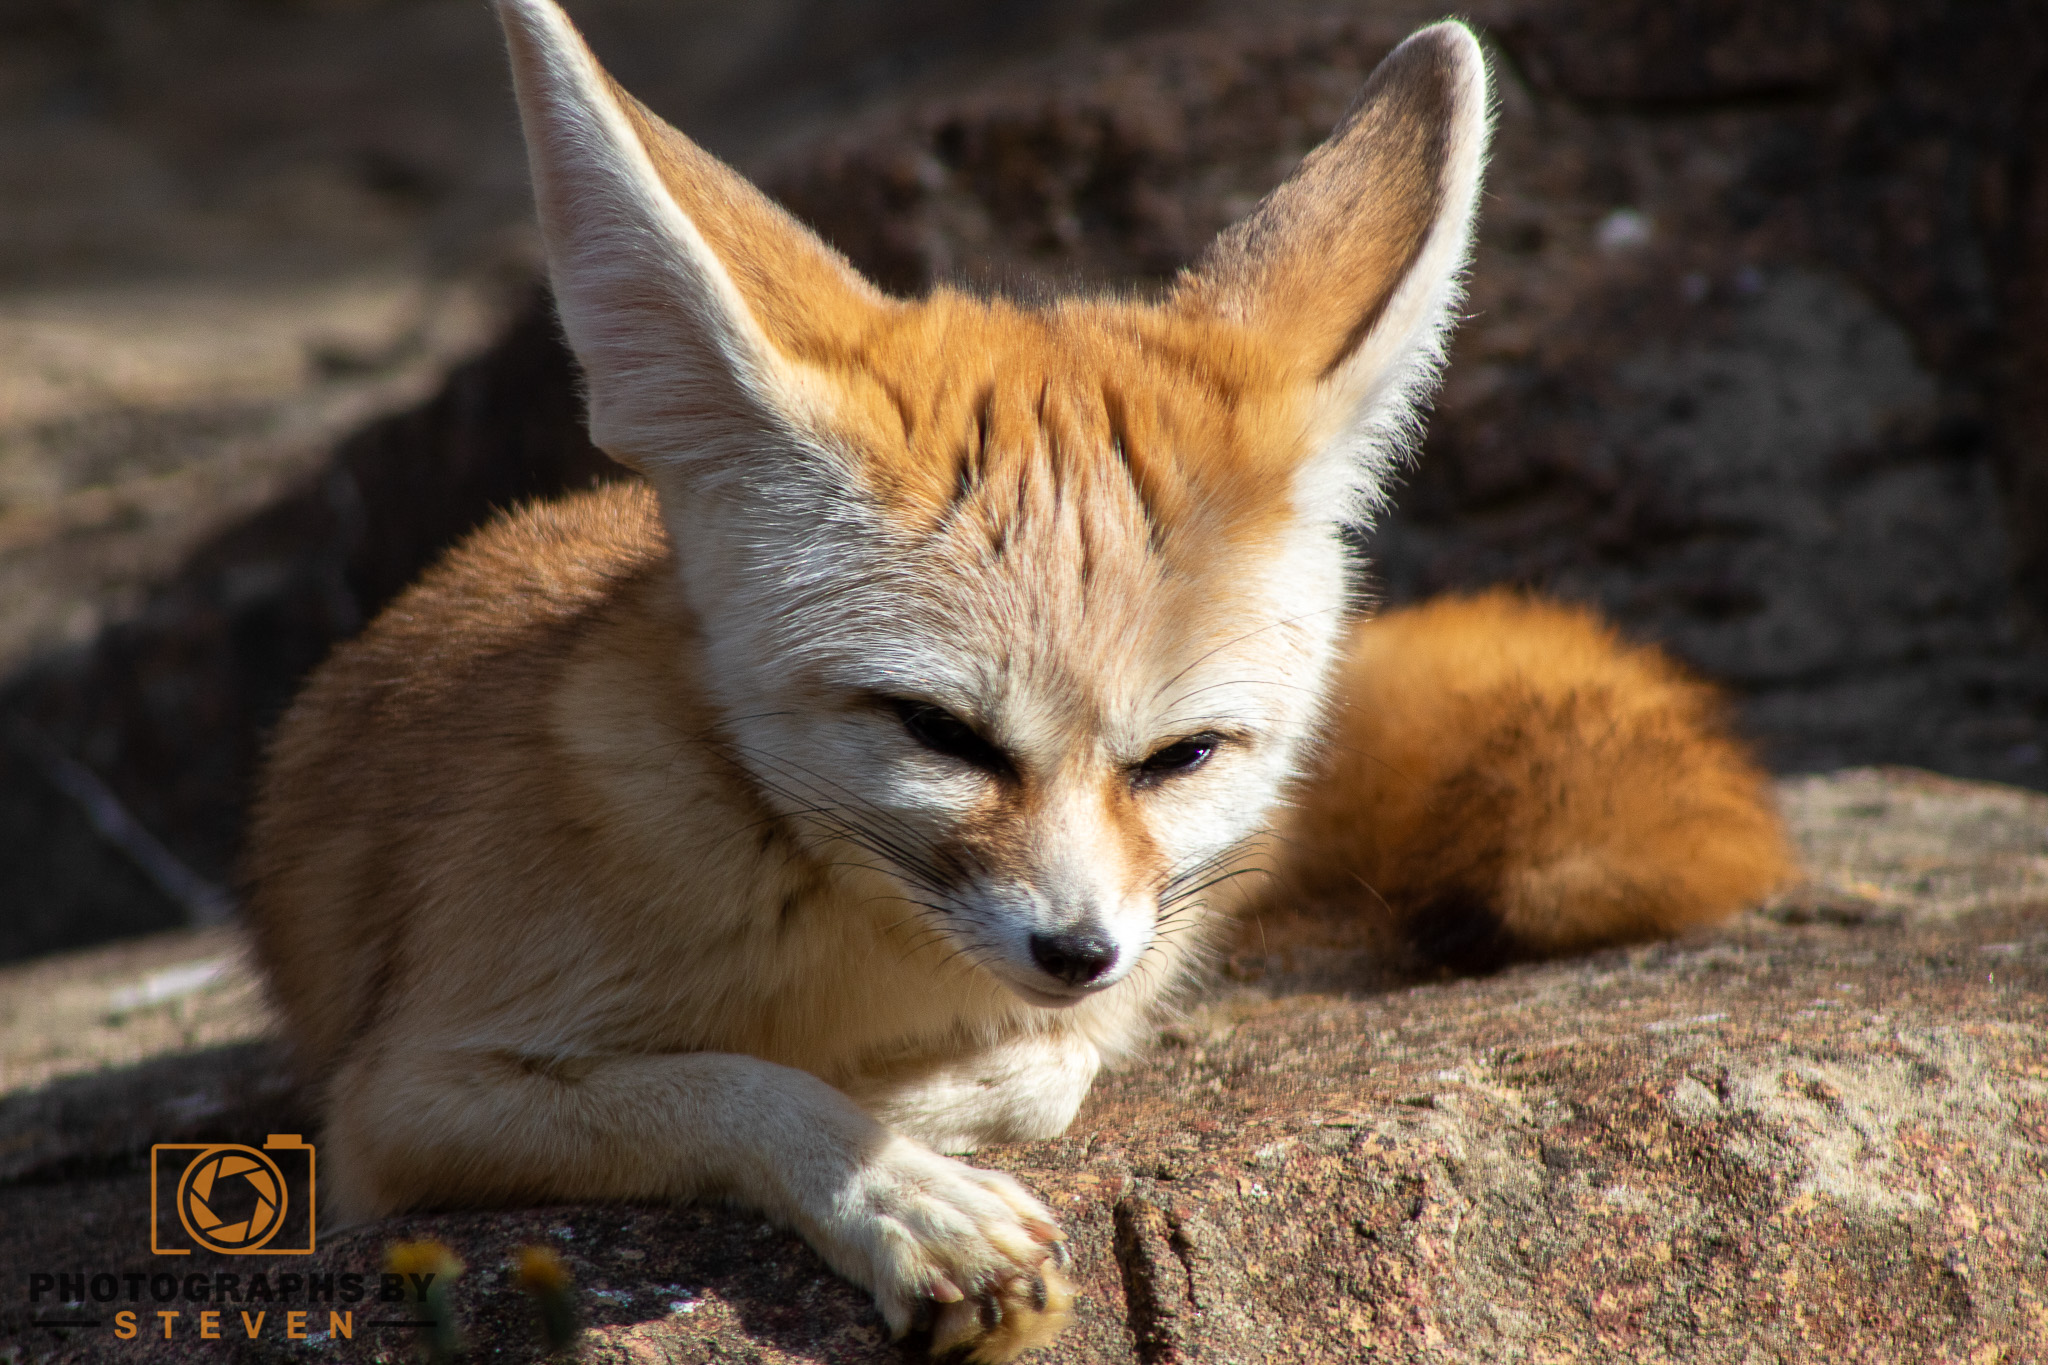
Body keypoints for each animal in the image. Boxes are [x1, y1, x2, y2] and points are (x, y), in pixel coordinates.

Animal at [244, 2, 1793, 1360]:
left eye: (1181, 758)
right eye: (939, 732)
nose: (1076, 950)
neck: (846, 946)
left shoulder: (1129, 958)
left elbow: (1051, 1068)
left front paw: (926, 1109)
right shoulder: (395, 1109)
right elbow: (730, 1086)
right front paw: (893, 1184)